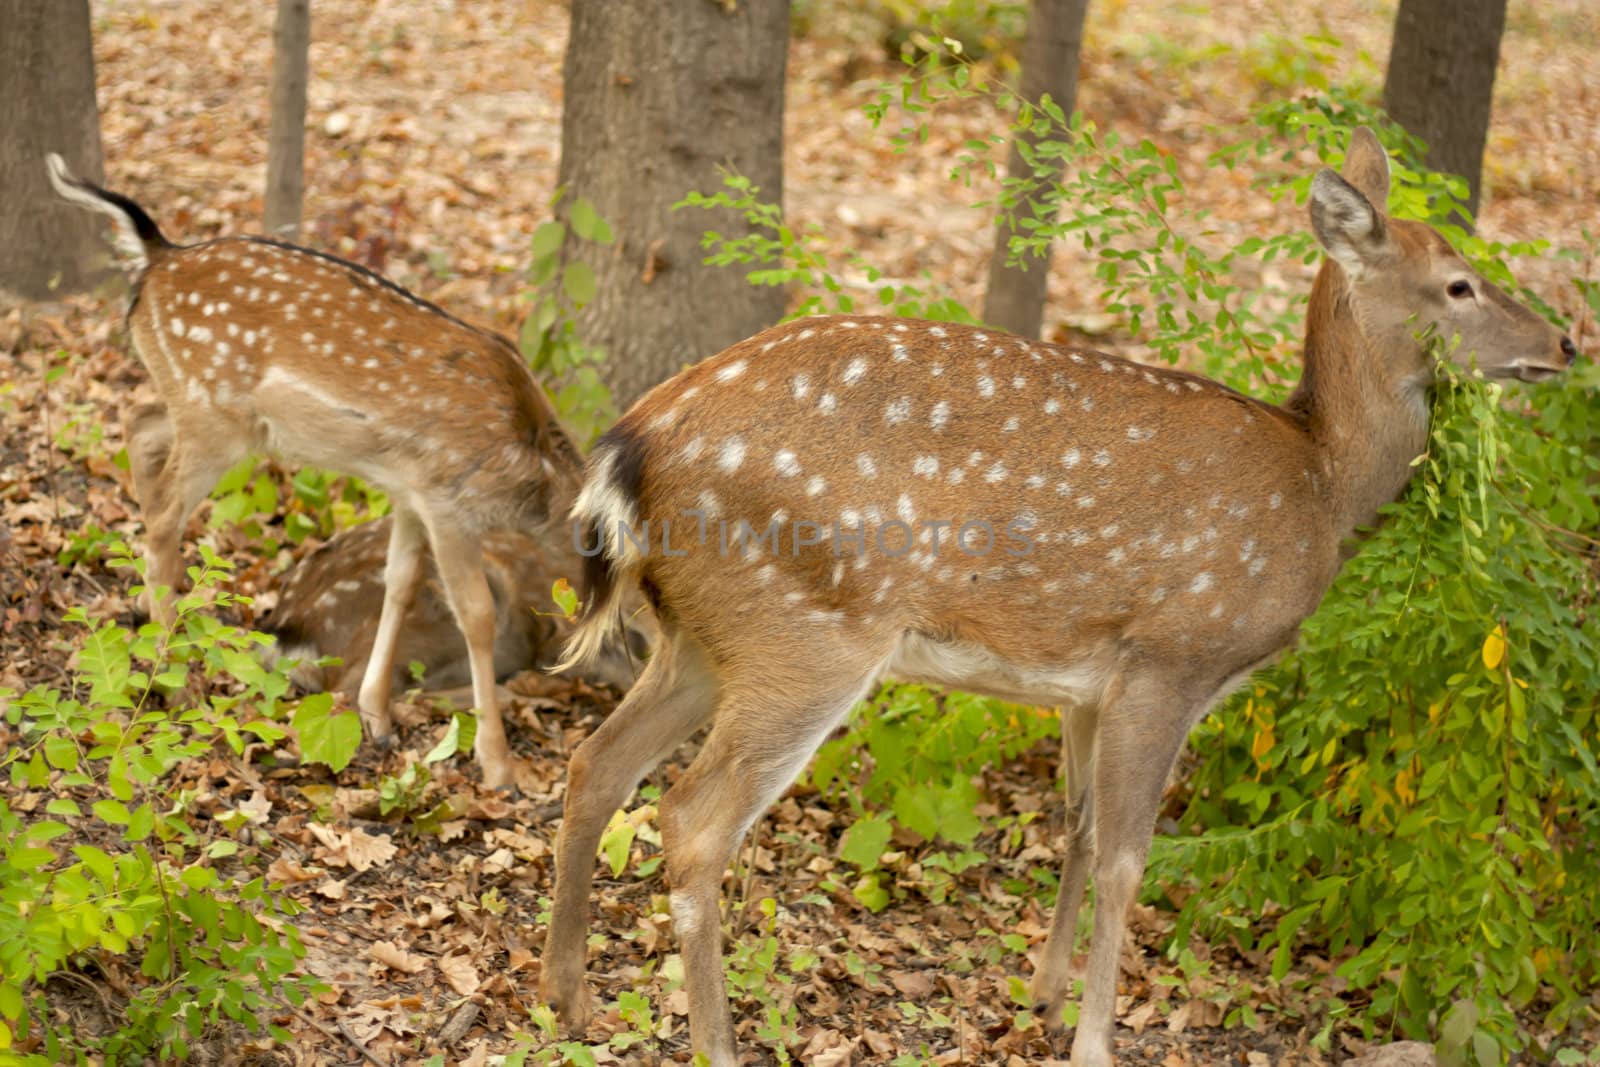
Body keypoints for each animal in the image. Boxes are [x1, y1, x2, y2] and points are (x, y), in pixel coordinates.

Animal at [45, 154, 588, 790]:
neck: (529, 468)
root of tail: (157, 256)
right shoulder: (448, 497)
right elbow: (475, 615)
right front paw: (498, 765)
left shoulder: (408, 491)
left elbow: (401, 581)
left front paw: (377, 716)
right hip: (215, 413)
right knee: (163, 515)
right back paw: (174, 679)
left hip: (201, 407)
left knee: (139, 421)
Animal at [537, 127, 1574, 1067]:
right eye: (1460, 284)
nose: (1564, 341)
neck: (1322, 481)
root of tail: (629, 447)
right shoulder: (1172, 654)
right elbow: (1125, 858)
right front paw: (1094, 1041)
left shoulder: (1087, 681)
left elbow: (1074, 826)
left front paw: (1041, 996)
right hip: (809, 629)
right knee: (692, 818)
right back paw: (713, 1042)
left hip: (703, 636)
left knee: (596, 763)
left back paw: (565, 996)